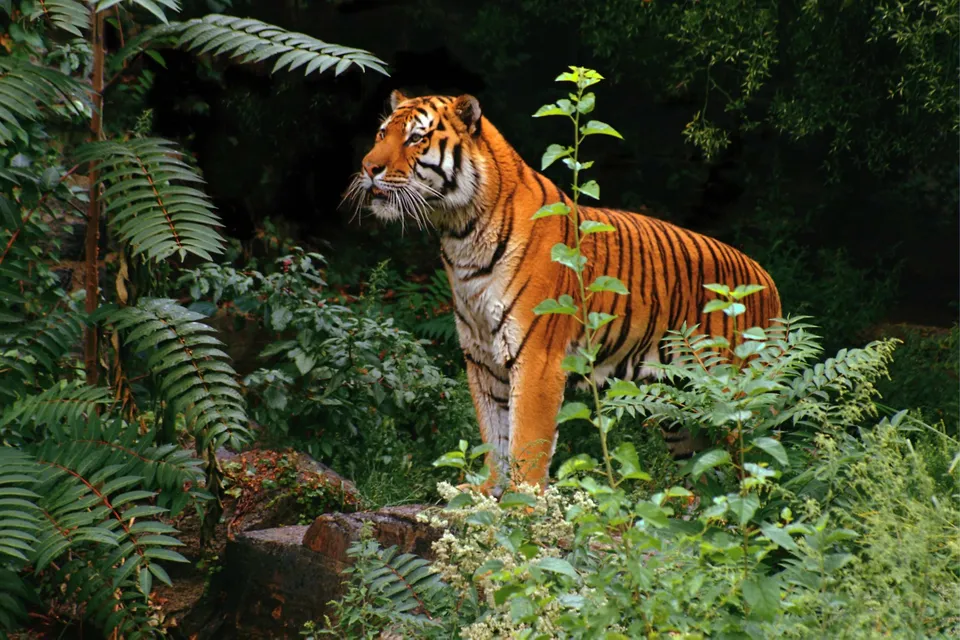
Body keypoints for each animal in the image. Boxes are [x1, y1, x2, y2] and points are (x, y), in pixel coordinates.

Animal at [346, 90, 781, 496]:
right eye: (382, 134)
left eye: (416, 138)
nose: (368, 167)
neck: (460, 232)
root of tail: (767, 279)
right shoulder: (482, 359)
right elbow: (494, 434)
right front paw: (488, 493)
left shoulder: (537, 358)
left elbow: (526, 441)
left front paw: (524, 504)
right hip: (680, 408)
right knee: (705, 472)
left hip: (737, 397)